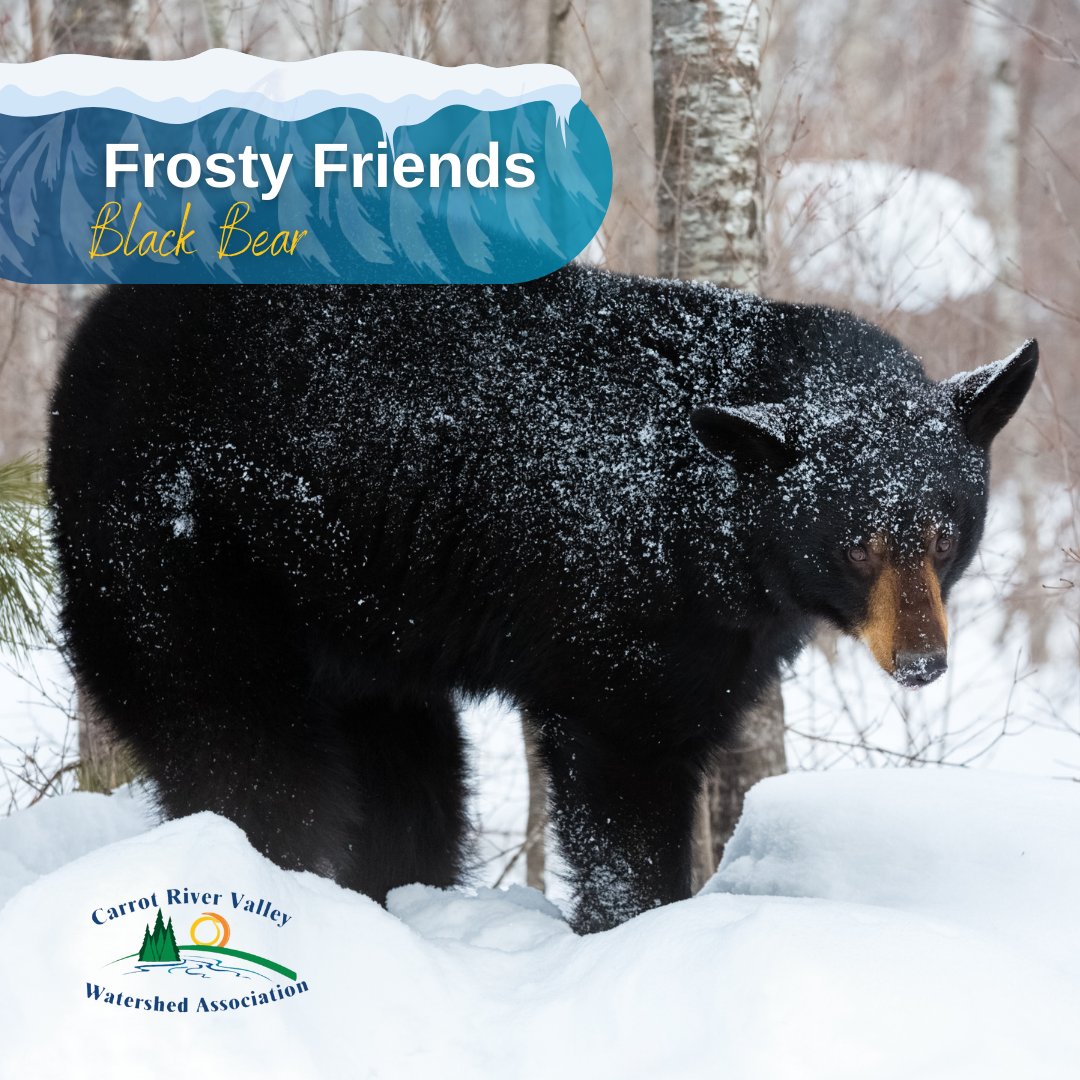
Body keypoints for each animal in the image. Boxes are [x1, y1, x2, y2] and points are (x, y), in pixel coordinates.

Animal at [47, 263, 1038, 933]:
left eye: (945, 533)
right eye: (856, 541)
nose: (923, 661)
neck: (713, 515)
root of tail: (91, 341)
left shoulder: (725, 631)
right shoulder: (620, 608)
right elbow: (622, 775)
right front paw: (638, 927)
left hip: (359, 632)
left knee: (412, 780)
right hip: (182, 556)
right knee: (239, 745)